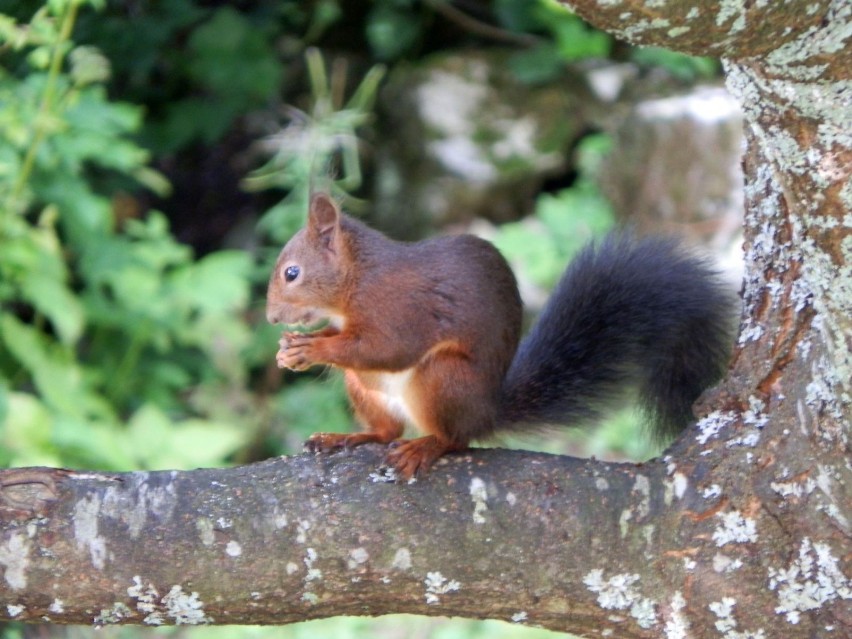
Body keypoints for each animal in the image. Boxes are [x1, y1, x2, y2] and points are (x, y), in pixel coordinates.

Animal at [266, 192, 732, 478]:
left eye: (292, 273)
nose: (271, 318)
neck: (356, 280)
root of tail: (488, 411)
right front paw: (290, 349)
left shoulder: (400, 310)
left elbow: (386, 349)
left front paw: (313, 347)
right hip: (364, 387)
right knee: (387, 430)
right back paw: (347, 436)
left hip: (443, 378)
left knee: (455, 439)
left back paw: (426, 446)